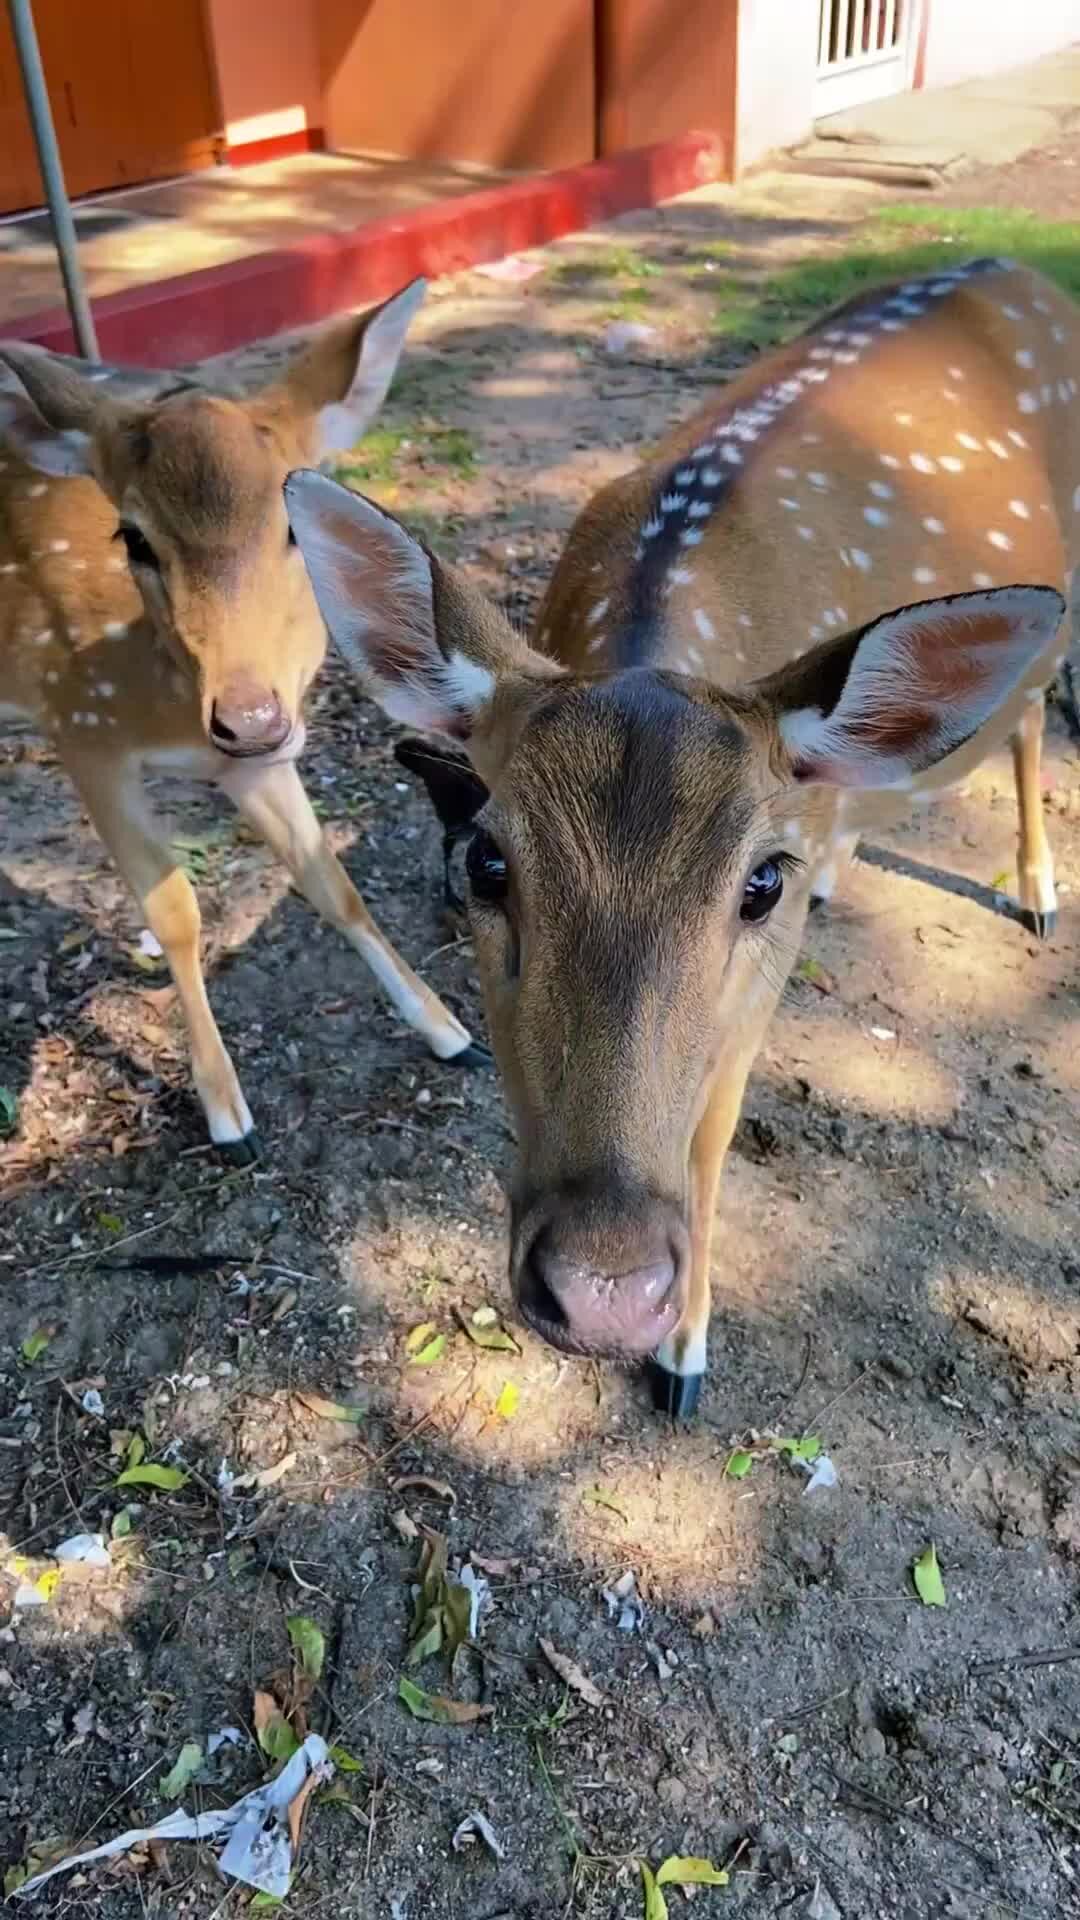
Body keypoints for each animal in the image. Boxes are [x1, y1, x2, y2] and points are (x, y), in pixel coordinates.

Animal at [0, 280, 478, 1159]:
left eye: (297, 521)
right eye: (133, 536)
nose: (247, 714)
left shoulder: (254, 761)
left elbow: (330, 882)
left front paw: (449, 1031)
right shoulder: (76, 722)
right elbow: (176, 913)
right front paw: (227, 1114)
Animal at [284, 259, 1068, 1413]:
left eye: (758, 885)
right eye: (485, 861)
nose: (604, 1290)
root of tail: (1016, 269)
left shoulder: (758, 993)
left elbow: (712, 1137)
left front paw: (685, 1358)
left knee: (1032, 706)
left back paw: (1037, 894)